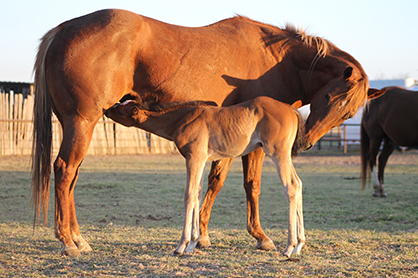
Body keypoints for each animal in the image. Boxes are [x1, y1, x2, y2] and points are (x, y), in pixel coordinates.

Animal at [104, 96, 306, 258]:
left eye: (120, 109)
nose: (105, 109)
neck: (181, 119)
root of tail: (291, 109)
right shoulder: (200, 160)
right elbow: (197, 194)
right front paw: (192, 244)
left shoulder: (194, 158)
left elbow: (189, 195)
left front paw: (182, 246)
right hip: (283, 155)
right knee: (298, 184)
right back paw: (299, 245)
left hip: (277, 153)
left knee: (291, 186)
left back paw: (289, 247)